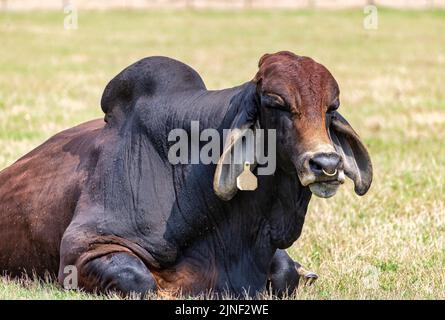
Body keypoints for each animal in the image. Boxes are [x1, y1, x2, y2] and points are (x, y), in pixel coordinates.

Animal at [0, 51, 372, 296]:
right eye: (274, 102)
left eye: (331, 108)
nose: (326, 164)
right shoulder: (83, 248)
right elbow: (142, 282)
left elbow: (284, 276)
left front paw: (300, 272)